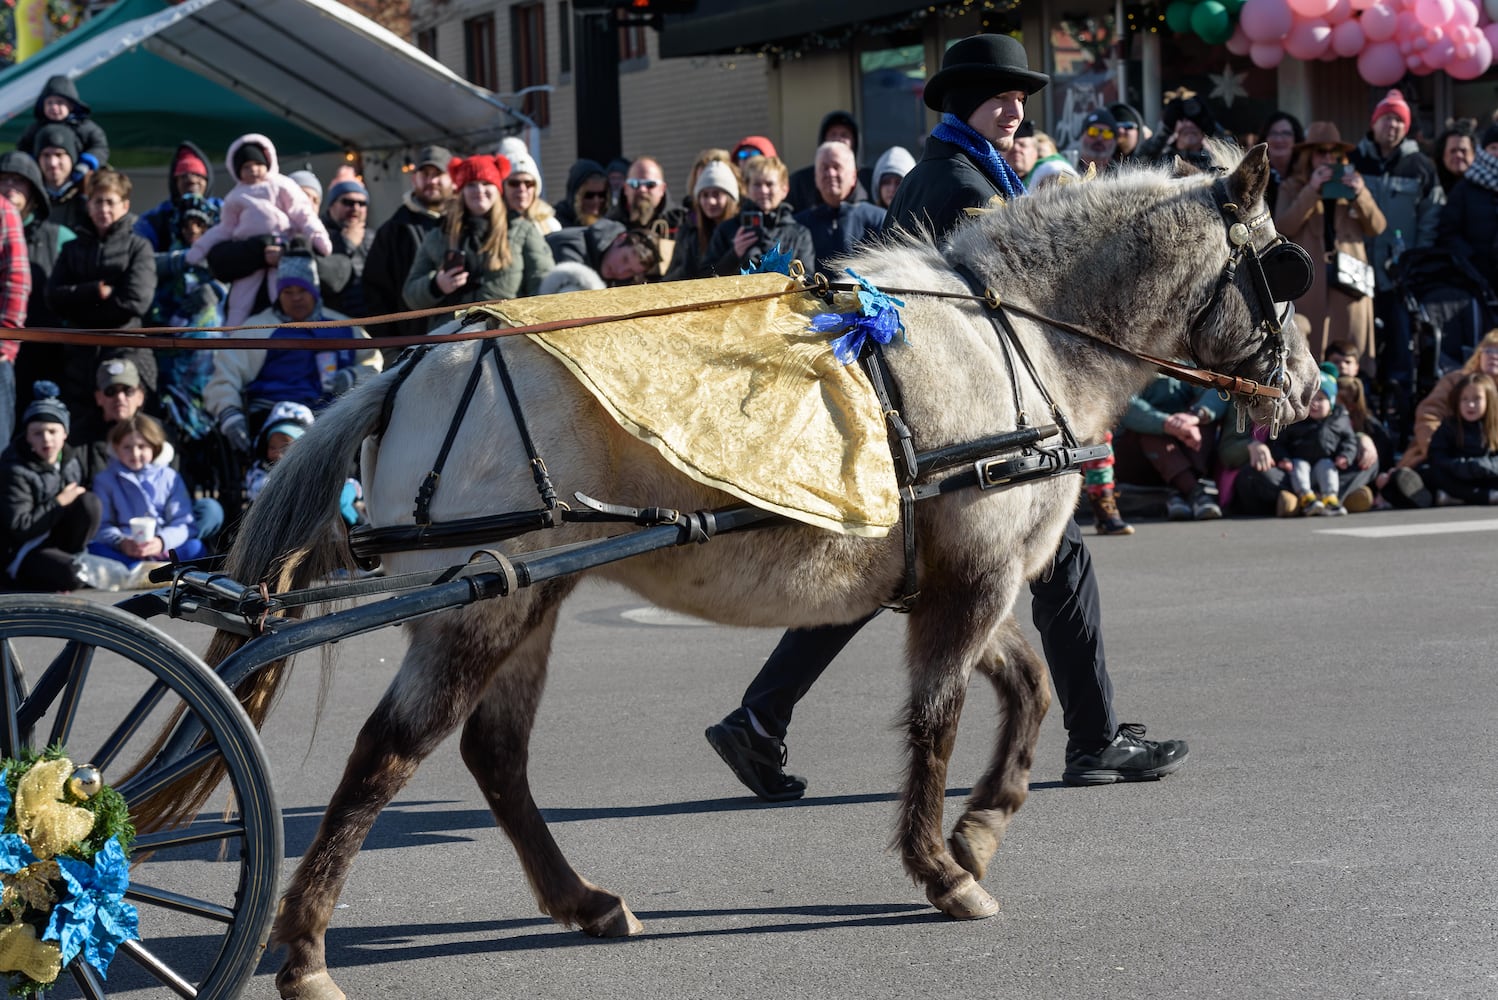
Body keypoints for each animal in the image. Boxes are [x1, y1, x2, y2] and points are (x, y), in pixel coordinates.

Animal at [149, 142, 1312, 999]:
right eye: (1282, 269)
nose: (1309, 383)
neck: (1009, 334)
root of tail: (412, 370)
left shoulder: (959, 578)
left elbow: (1024, 691)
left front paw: (981, 827)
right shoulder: (973, 577)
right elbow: (939, 719)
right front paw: (941, 865)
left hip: (528, 600)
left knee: (494, 754)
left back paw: (582, 901)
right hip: (476, 609)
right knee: (388, 754)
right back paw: (303, 949)